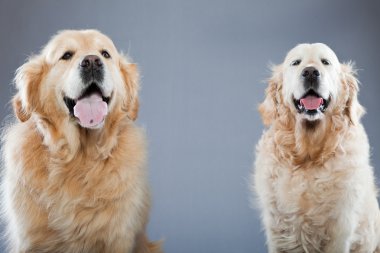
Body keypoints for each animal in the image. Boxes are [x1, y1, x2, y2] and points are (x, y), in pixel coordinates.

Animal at [252, 43, 380, 251]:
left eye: (325, 62)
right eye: (296, 62)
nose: (311, 72)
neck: (308, 155)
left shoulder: (341, 228)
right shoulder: (278, 229)